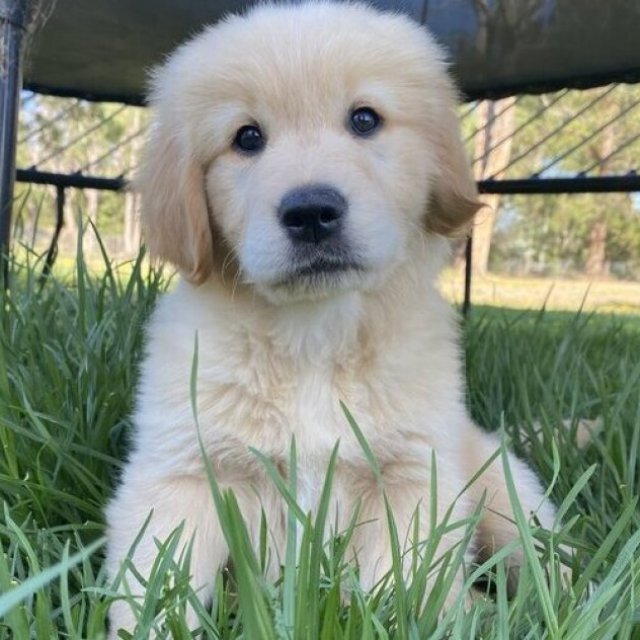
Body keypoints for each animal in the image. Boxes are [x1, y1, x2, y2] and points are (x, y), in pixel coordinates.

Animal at [105, 2, 560, 636]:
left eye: (365, 119)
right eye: (247, 137)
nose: (311, 212)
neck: (314, 338)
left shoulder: (411, 477)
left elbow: (401, 590)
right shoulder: (181, 474)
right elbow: (158, 587)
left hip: (504, 491)